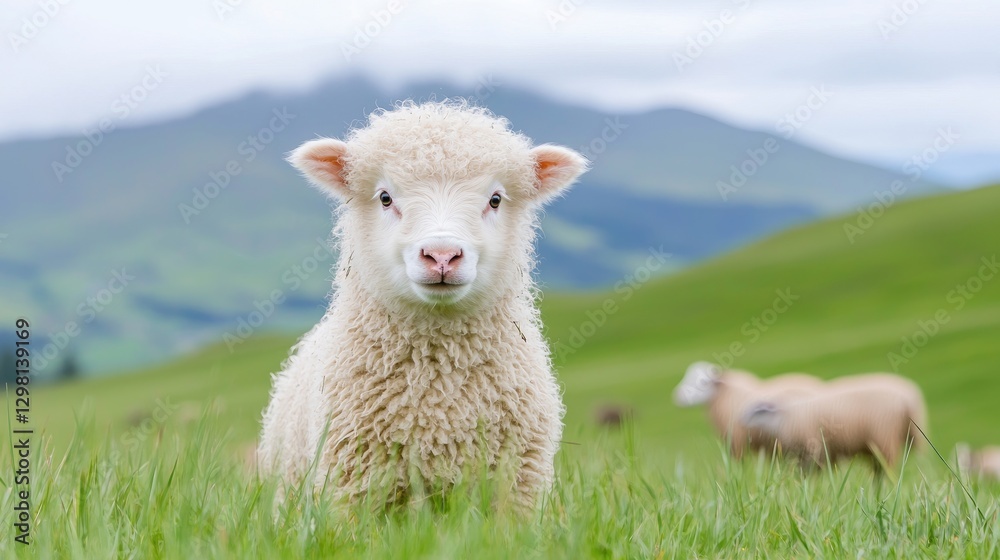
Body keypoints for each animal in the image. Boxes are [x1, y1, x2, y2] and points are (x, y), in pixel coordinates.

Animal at [257, 100, 588, 509]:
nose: (442, 255)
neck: (439, 390)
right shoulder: (350, 489)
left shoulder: (516, 490)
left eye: (495, 199)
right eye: (385, 197)